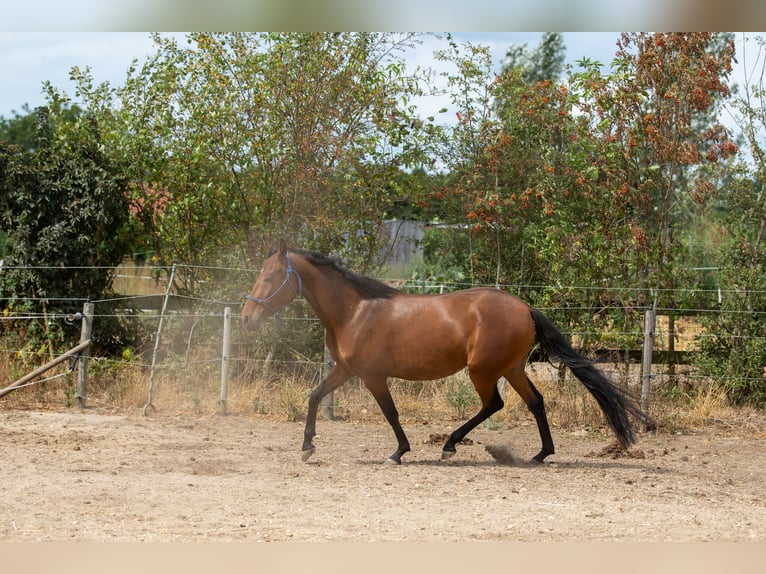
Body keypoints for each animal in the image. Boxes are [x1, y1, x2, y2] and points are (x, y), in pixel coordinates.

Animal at [241, 241, 652, 465]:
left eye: (270, 277)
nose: (246, 317)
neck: (355, 311)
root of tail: (525, 307)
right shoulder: (345, 370)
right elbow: (314, 397)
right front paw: (307, 448)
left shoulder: (373, 376)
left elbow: (390, 413)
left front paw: (398, 452)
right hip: (512, 369)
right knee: (535, 402)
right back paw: (539, 455)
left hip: (482, 371)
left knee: (494, 404)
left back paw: (452, 445)